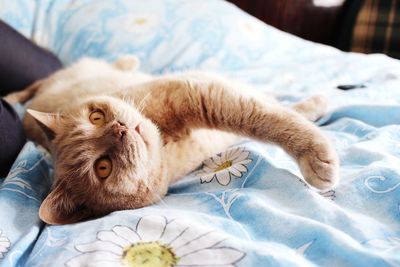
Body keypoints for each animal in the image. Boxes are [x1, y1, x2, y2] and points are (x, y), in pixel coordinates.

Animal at [7, 55, 340, 225]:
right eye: (103, 167)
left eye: (96, 118)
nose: (120, 129)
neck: (167, 142)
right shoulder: (210, 97)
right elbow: (267, 114)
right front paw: (317, 154)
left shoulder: (203, 91)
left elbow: (270, 112)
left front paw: (313, 109)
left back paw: (128, 60)